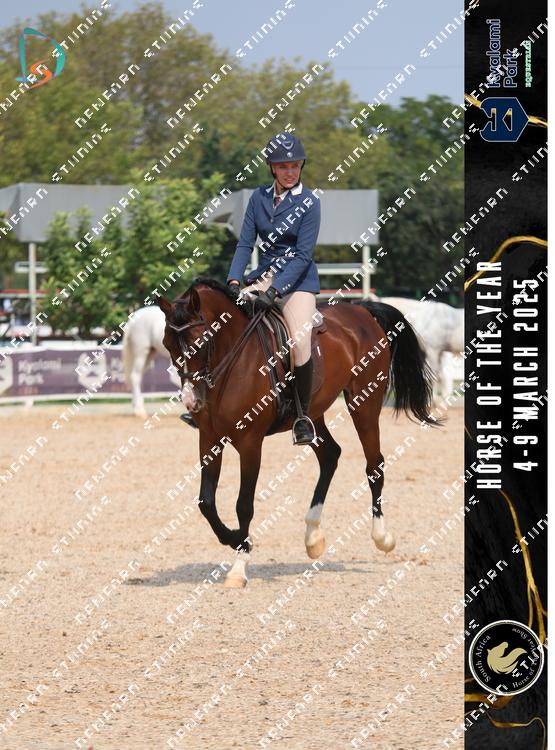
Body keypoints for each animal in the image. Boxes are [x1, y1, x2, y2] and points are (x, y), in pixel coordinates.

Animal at [158, 277, 435, 588]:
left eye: (202, 341)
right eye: (167, 345)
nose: (191, 401)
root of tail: (362, 310)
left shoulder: (250, 443)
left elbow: (244, 505)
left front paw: (239, 564)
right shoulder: (208, 438)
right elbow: (206, 502)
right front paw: (233, 538)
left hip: (364, 403)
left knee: (374, 464)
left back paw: (382, 538)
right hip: (314, 413)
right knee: (330, 456)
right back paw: (313, 537)